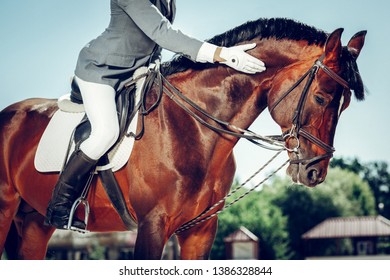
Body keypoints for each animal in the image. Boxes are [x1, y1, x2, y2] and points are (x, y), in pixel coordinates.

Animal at [0, 17, 366, 260]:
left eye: (346, 104)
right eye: (321, 97)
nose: (315, 172)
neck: (196, 129)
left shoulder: (200, 230)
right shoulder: (152, 226)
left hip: (33, 222)